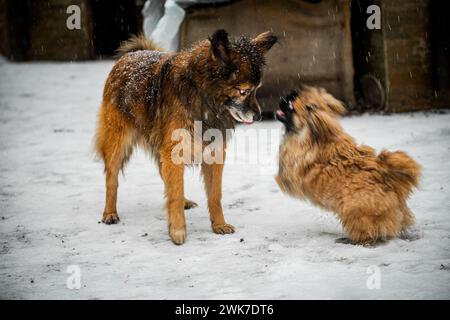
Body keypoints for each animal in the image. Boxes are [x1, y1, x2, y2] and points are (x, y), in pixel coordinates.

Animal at [95, 30, 278, 245]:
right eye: (243, 91)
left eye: (257, 89)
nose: (258, 117)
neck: (201, 96)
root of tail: (133, 54)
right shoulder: (174, 151)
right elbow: (174, 192)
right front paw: (177, 230)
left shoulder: (213, 154)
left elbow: (214, 195)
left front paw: (219, 225)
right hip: (118, 141)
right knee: (112, 178)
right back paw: (109, 213)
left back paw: (185, 202)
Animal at [274, 85, 422, 245]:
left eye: (291, 105)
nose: (281, 98)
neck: (309, 133)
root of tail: (385, 176)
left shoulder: (292, 171)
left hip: (354, 211)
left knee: (369, 232)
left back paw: (352, 240)